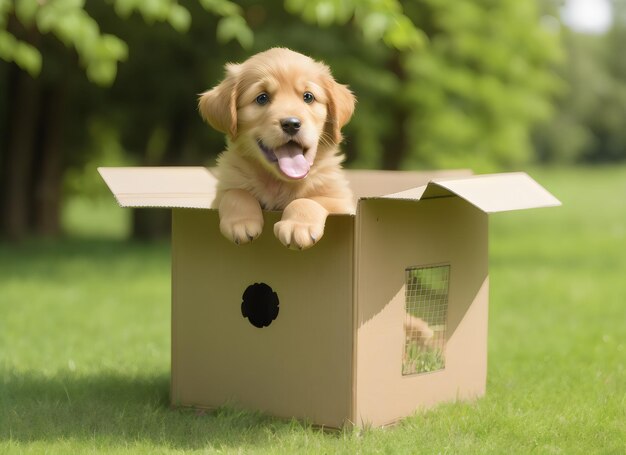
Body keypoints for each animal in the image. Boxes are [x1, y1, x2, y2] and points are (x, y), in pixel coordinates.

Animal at [197, 47, 354, 249]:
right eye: (262, 98)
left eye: (308, 97)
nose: (291, 124)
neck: (278, 182)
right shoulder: (220, 194)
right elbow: (235, 193)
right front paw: (241, 222)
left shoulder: (342, 202)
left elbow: (309, 199)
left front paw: (297, 226)